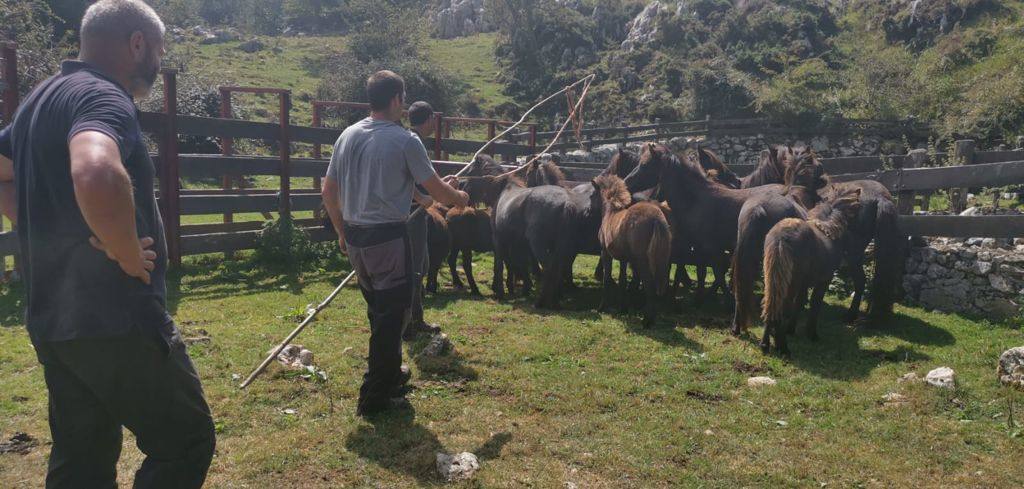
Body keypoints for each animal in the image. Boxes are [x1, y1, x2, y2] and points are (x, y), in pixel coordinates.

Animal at [593, 173, 671, 327]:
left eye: (594, 193)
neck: (611, 212)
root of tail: (656, 219)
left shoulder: (605, 253)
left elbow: (606, 278)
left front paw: (602, 307)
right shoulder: (623, 258)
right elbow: (622, 280)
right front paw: (622, 309)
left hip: (642, 262)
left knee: (649, 286)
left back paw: (647, 321)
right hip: (659, 260)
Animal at [761, 185, 864, 353]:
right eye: (857, 207)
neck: (828, 229)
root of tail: (781, 238)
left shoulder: (804, 284)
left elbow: (799, 304)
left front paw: (791, 329)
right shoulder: (823, 281)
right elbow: (815, 304)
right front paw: (811, 334)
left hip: (773, 280)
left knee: (771, 304)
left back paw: (765, 343)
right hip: (791, 284)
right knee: (781, 308)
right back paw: (783, 347)